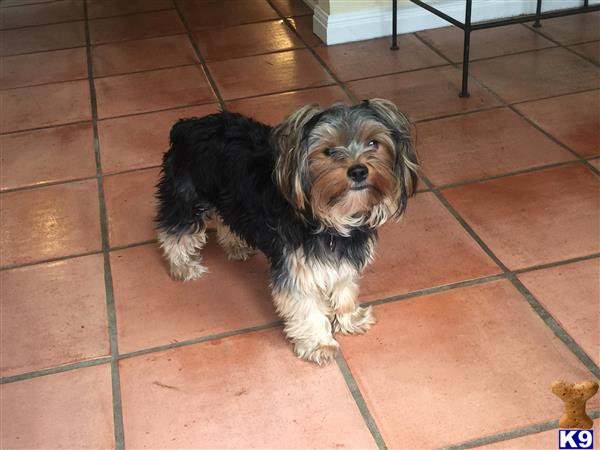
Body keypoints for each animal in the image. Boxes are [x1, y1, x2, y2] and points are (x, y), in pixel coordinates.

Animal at [155, 99, 418, 366]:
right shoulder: (296, 267)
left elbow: (345, 287)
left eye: (373, 143)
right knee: (175, 230)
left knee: (224, 217)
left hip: (228, 198)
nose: (358, 171)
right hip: (186, 195)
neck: (332, 216)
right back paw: (182, 266)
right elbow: (307, 308)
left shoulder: (345, 258)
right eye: (328, 151)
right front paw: (319, 344)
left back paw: (235, 245)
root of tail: (187, 125)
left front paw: (350, 318)